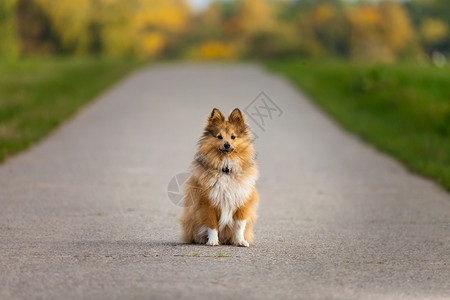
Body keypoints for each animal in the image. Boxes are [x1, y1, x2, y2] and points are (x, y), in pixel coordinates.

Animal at [178, 109, 258, 247]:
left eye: (233, 137)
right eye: (219, 136)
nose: (227, 145)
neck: (226, 169)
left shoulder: (242, 202)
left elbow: (239, 225)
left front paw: (240, 241)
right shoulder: (208, 203)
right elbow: (212, 225)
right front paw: (213, 241)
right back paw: (202, 239)